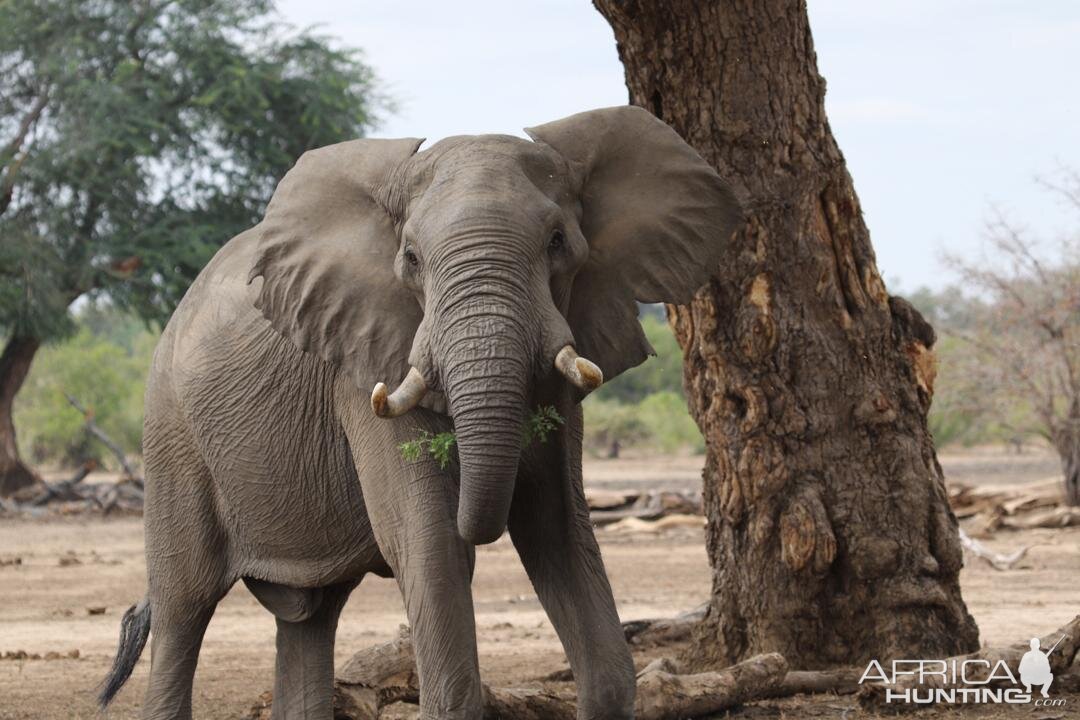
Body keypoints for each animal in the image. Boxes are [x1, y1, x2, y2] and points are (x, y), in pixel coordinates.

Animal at [99, 106, 743, 720]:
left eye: (558, 242)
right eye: (410, 258)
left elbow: (558, 527)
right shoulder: (363, 365)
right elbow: (428, 538)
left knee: (309, 615)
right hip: (171, 431)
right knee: (185, 606)